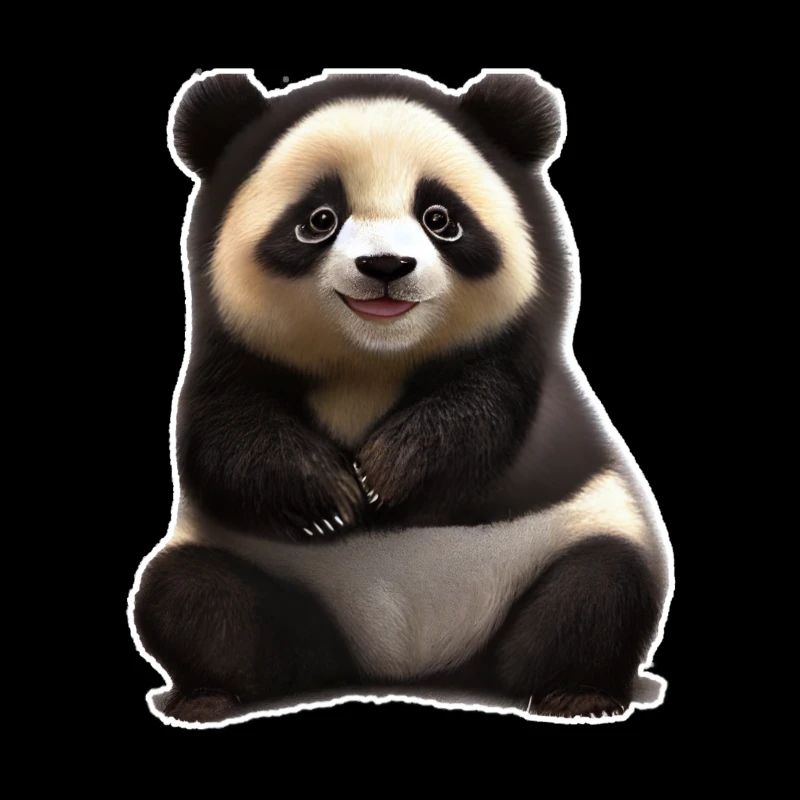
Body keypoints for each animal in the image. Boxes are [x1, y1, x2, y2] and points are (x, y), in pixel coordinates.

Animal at [130, 68, 673, 725]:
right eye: (319, 219)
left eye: (440, 217)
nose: (385, 266)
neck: (373, 361)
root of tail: (404, 660)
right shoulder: (225, 360)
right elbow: (222, 437)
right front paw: (330, 497)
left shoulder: (533, 372)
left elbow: (491, 414)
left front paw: (386, 474)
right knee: (195, 599)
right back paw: (212, 694)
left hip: (566, 541)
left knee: (599, 589)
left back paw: (574, 693)